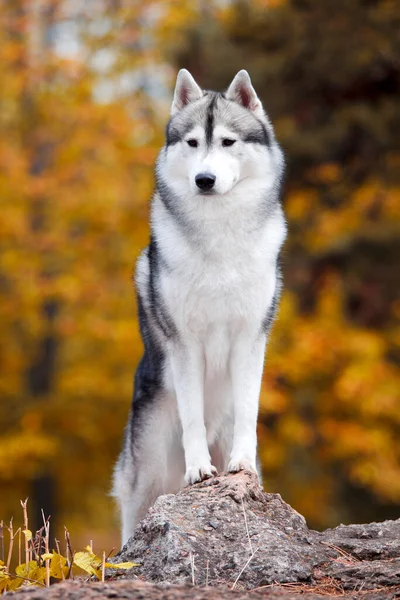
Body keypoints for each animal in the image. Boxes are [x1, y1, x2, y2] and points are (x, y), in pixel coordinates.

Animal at [113, 69, 288, 544]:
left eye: (228, 141)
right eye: (192, 143)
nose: (204, 180)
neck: (219, 234)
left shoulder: (250, 339)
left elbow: (249, 412)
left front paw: (241, 464)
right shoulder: (185, 344)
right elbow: (192, 417)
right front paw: (198, 470)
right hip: (150, 470)